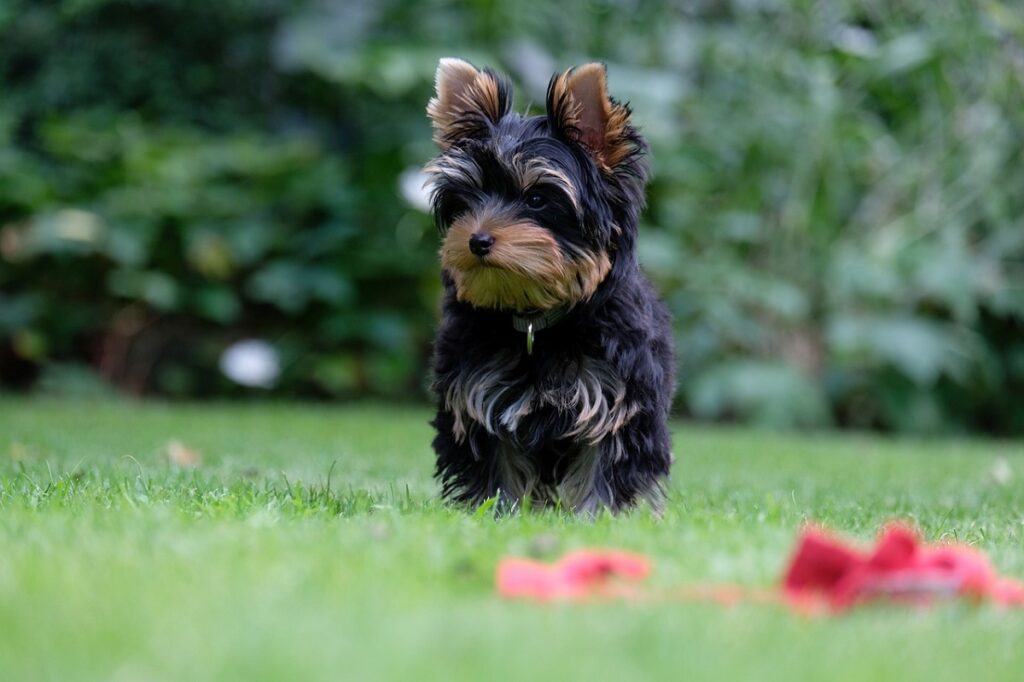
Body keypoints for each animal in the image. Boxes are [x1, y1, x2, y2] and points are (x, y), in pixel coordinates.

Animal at [423, 58, 671, 512]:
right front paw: (495, 511)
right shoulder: (477, 391)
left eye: (537, 199)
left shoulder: (618, 397)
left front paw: (598, 516)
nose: (477, 240)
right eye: (467, 200)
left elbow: (606, 466)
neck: (535, 318)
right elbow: (495, 461)